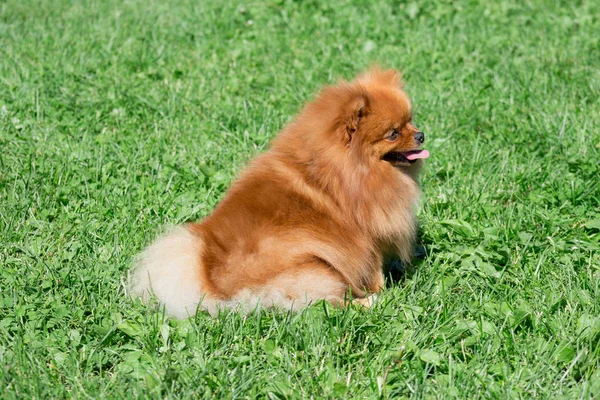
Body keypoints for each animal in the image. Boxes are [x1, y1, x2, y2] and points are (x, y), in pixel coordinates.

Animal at [129, 69, 428, 318]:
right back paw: (368, 302)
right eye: (393, 133)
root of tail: (211, 285)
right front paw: (382, 290)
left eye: (411, 121)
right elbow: (374, 268)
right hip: (316, 268)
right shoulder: (367, 235)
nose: (421, 135)